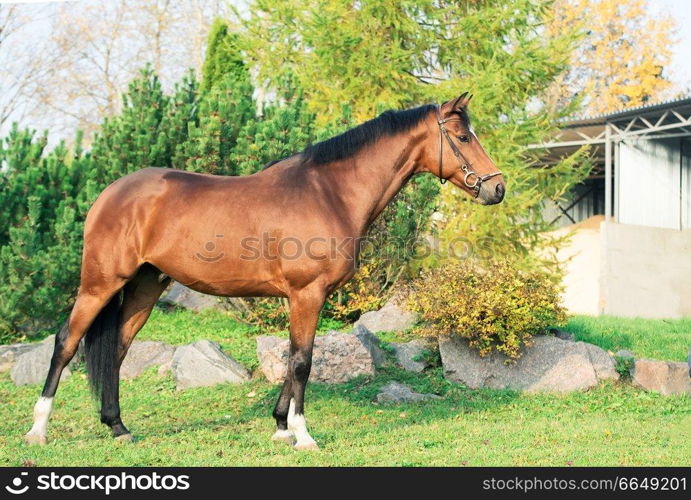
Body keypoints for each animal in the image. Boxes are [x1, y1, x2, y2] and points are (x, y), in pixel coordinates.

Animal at [25, 93, 502, 450]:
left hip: (145, 287)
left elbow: (293, 358)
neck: (329, 193)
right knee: (66, 343)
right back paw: (38, 430)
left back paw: (118, 427)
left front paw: (280, 426)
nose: (497, 188)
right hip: (100, 283)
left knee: (118, 351)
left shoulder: (303, 298)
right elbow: (302, 362)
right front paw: (303, 435)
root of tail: (110, 194)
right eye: (463, 136)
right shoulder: (307, 293)